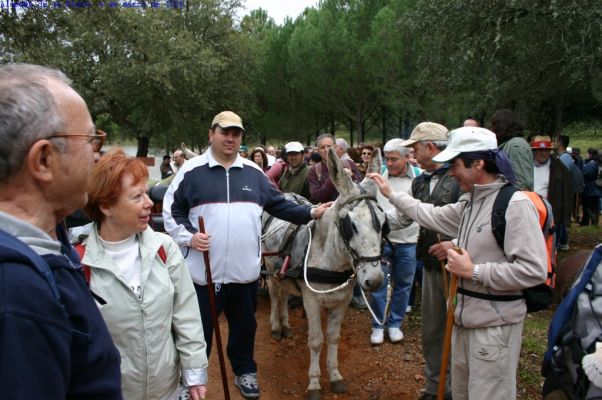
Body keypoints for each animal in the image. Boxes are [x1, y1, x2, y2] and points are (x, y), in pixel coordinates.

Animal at [262, 148, 384, 398]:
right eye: (350, 225)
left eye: (384, 222)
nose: (375, 280)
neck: (332, 261)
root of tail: (287, 194)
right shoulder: (311, 301)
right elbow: (317, 341)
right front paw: (315, 383)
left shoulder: (342, 300)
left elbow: (334, 337)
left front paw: (335, 376)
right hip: (269, 269)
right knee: (275, 295)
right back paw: (277, 326)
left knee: (283, 295)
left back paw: (286, 325)